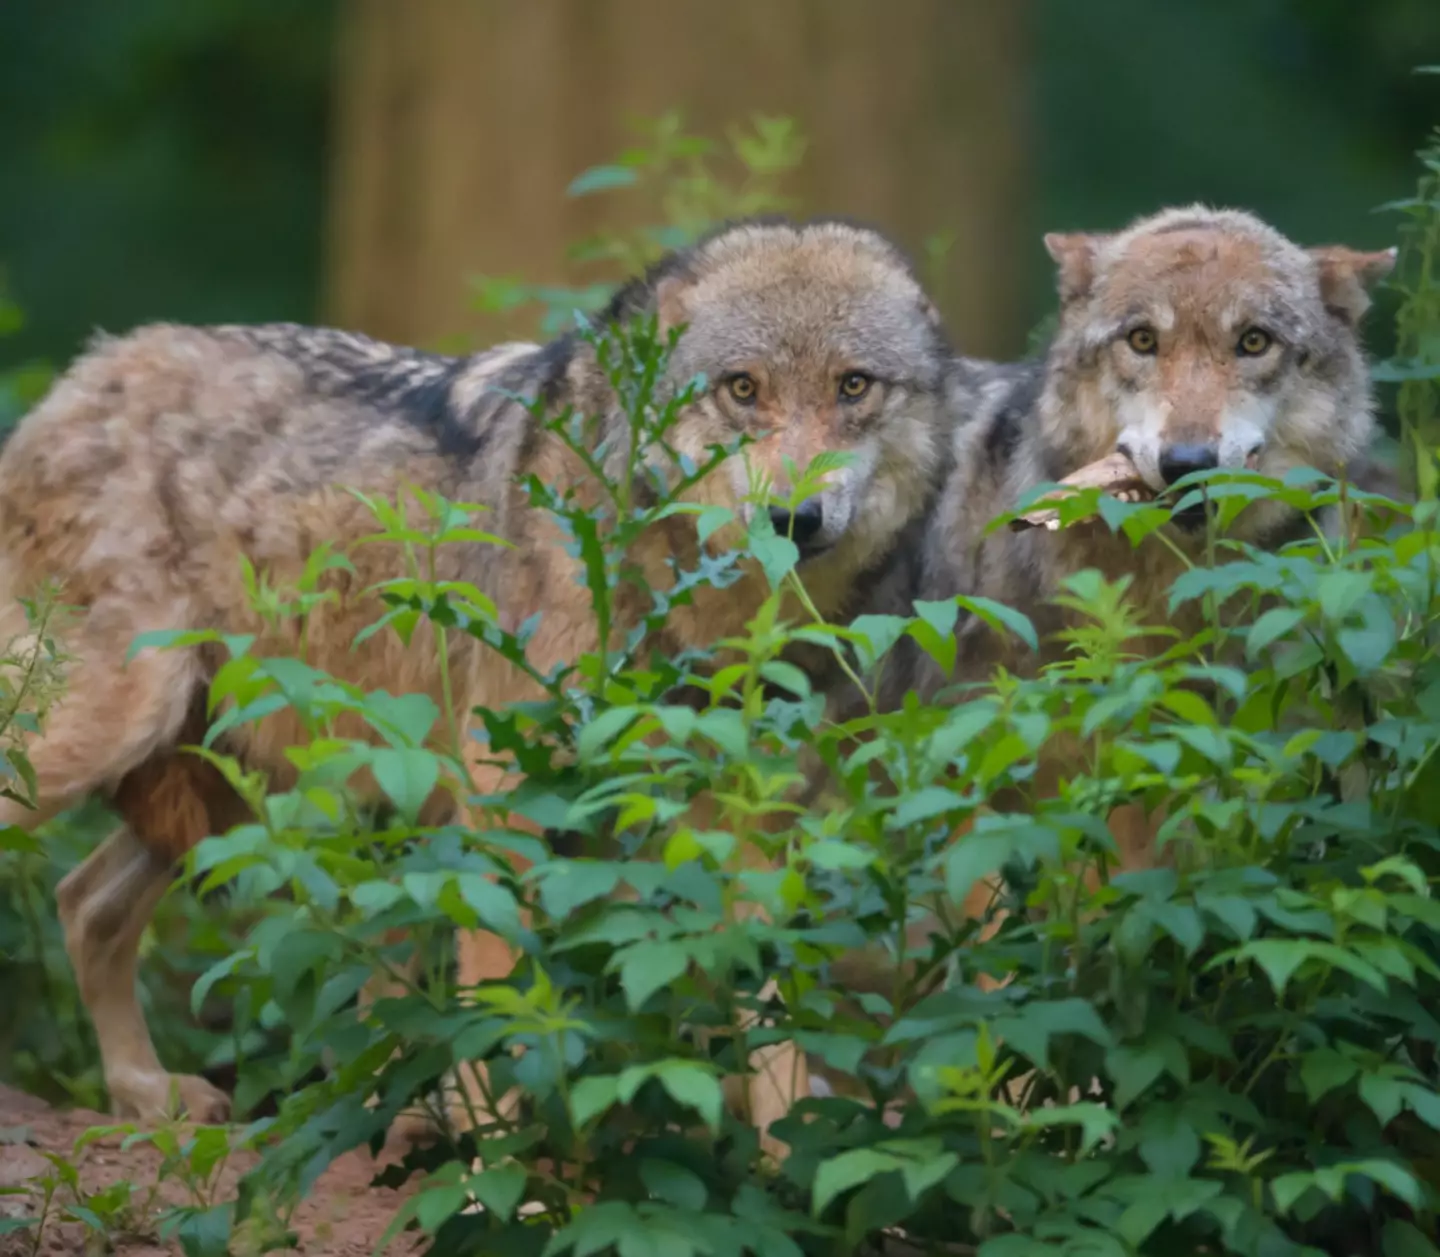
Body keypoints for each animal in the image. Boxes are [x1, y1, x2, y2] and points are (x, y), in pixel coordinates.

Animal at [0, 217, 955, 1146]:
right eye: (744, 389)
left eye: (854, 387)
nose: (794, 517)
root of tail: (80, 375)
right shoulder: (502, 790)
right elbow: (505, 1021)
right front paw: (499, 1169)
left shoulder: (747, 818)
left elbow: (776, 1039)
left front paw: (790, 1172)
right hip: (115, 733)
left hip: (227, 788)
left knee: (84, 901)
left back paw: (144, 1092)